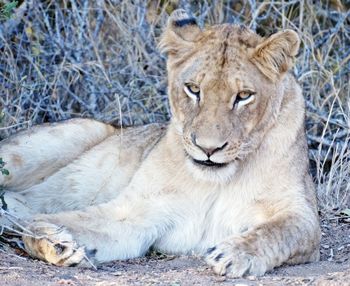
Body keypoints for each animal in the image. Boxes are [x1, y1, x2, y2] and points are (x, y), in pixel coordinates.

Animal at [0, 9, 320, 278]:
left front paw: (233, 254)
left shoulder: (301, 213)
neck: (217, 181)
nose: (208, 149)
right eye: (193, 89)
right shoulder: (135, 214)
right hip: (63, 137)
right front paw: (58, 242)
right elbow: (38, 225)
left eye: (243, 96)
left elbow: (279, 231)